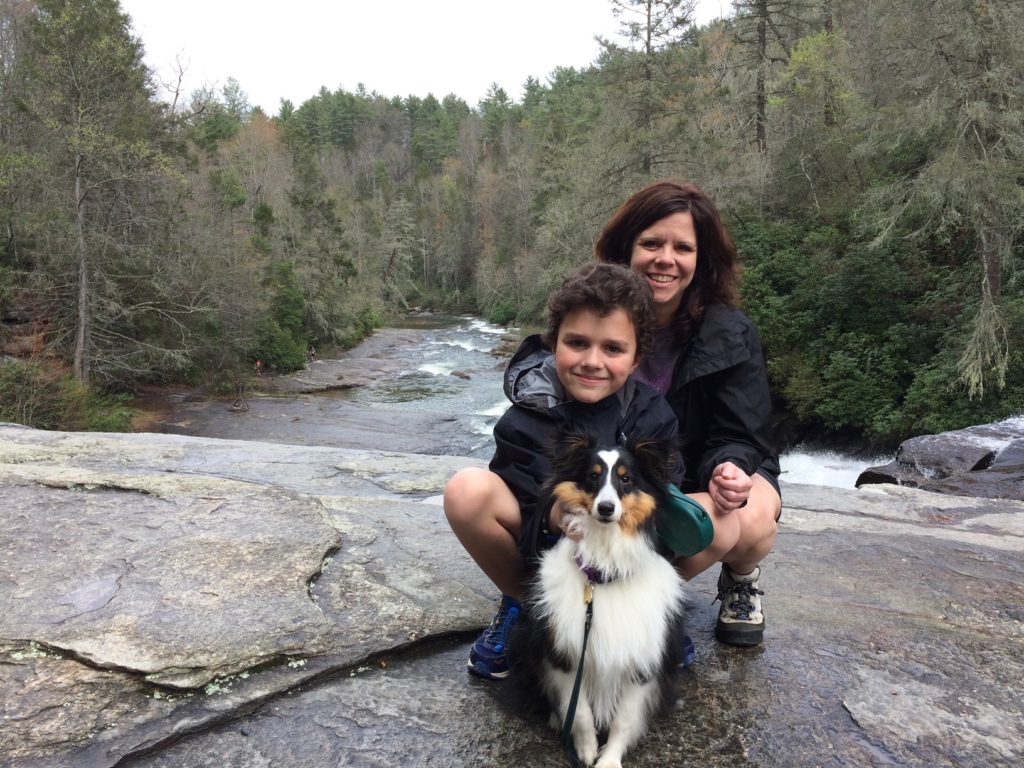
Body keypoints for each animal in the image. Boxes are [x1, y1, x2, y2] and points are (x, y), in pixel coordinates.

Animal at [512, 434, 688, 768]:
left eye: (626, 479)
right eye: (592, 476)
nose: (606, 508)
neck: (604, 575)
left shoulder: (640, 662)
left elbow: (624, 719)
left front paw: (608, 760)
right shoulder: (565, 655)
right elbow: (579, 711)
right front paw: (585, 750)